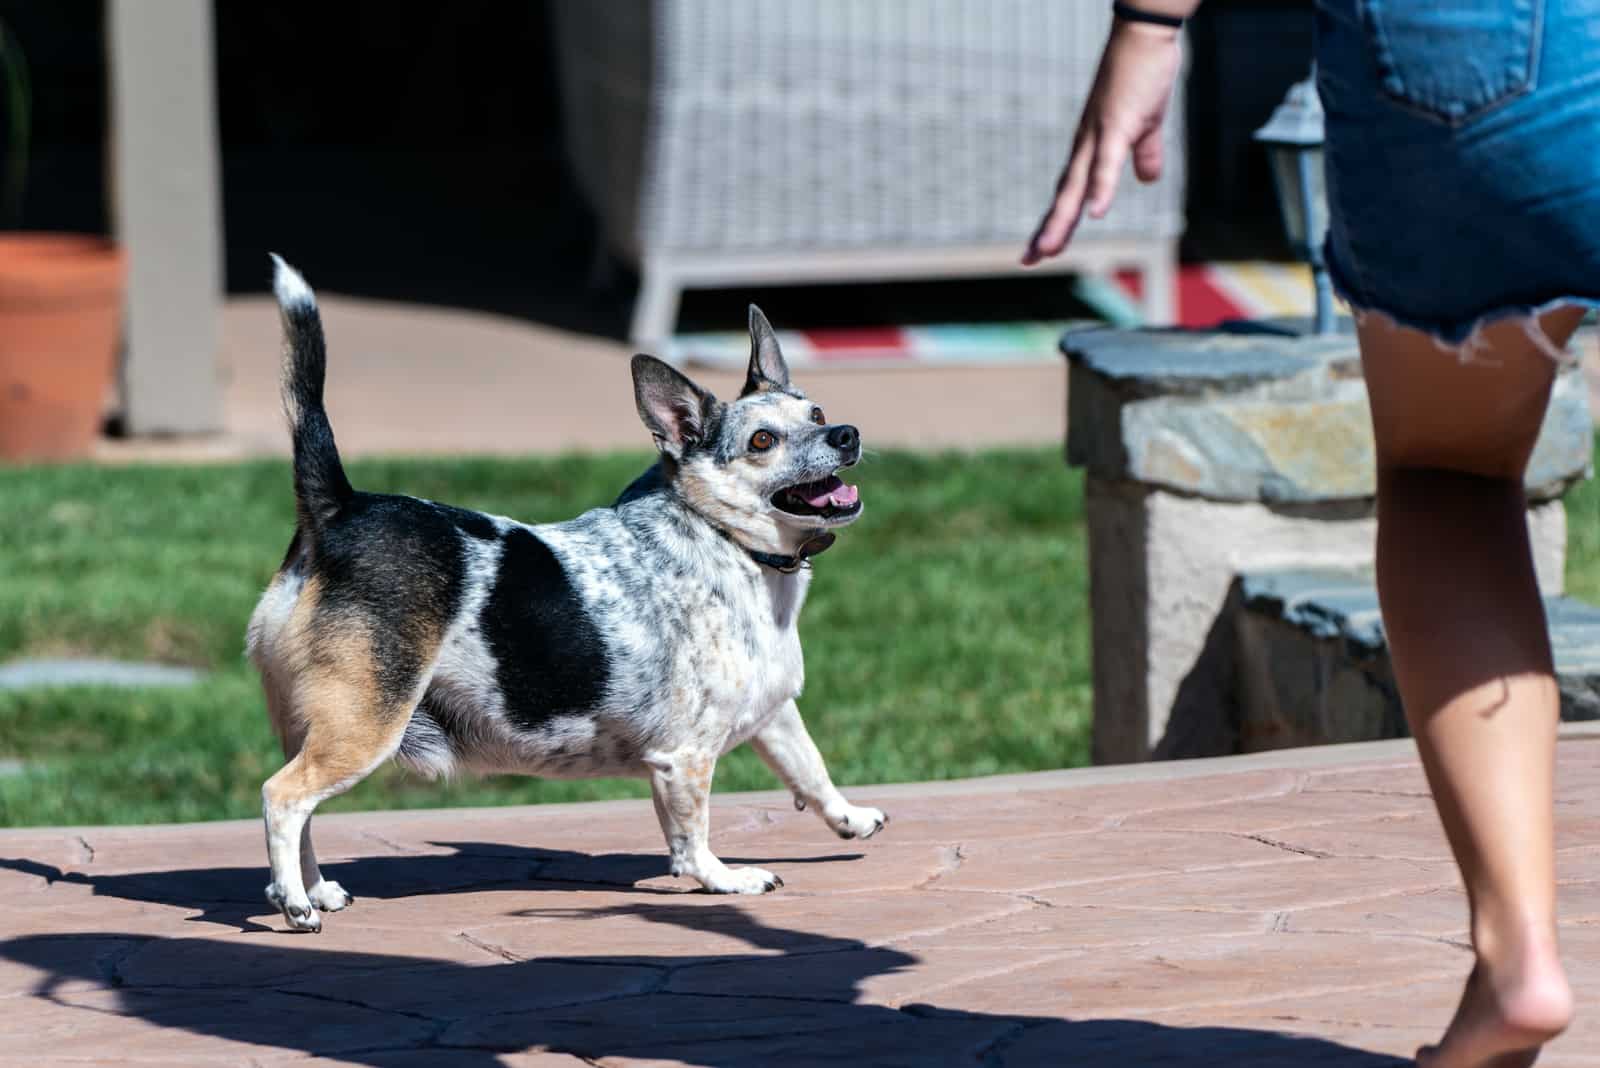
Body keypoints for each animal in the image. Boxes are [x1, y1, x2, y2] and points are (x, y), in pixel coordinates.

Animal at [246, 255, 889, 927]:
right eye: (763, 440)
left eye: (816, 416)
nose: (846, 434)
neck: (726, 539)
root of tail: (339, 510)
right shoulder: (684, 758)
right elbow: (691, 839)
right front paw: (725, 879)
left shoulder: (773, 714)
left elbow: (808, 767)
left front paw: (850, 819)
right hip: (364, 729)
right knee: (282, 797)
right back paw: (295, 903)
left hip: (317, 726)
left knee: (303, 809)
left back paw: (317, 887)